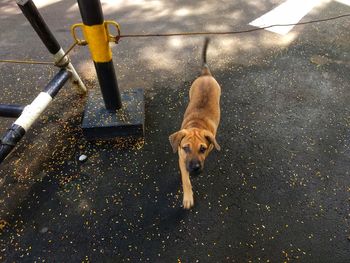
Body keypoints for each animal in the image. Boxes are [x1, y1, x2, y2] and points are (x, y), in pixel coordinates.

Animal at [170, 38, 221, 209]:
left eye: (203, 149)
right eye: (185, 148)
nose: (195, 168)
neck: (197, 126)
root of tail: (205, 74)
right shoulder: (181, 159)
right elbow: (185, 179)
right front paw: (187, 197)